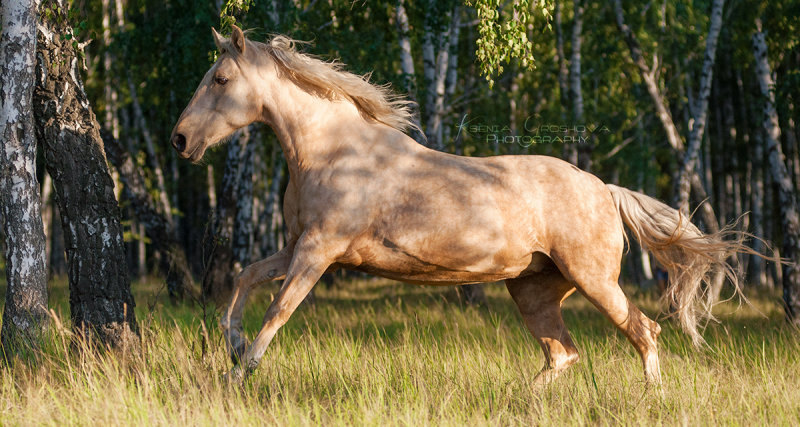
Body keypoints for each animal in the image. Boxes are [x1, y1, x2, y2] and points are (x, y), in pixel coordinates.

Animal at [172, 27, 748, 388]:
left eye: (220, 80)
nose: (180, 140)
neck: (332, 152)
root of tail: (602, 187)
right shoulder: (296, 247)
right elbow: (244, 279)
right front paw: (230, 347)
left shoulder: (318, 252)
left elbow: (277, 313)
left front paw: (235, 375)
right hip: (533, 290)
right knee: (563, 353)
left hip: (594, 280)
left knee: (644, 333)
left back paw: (651, 398)